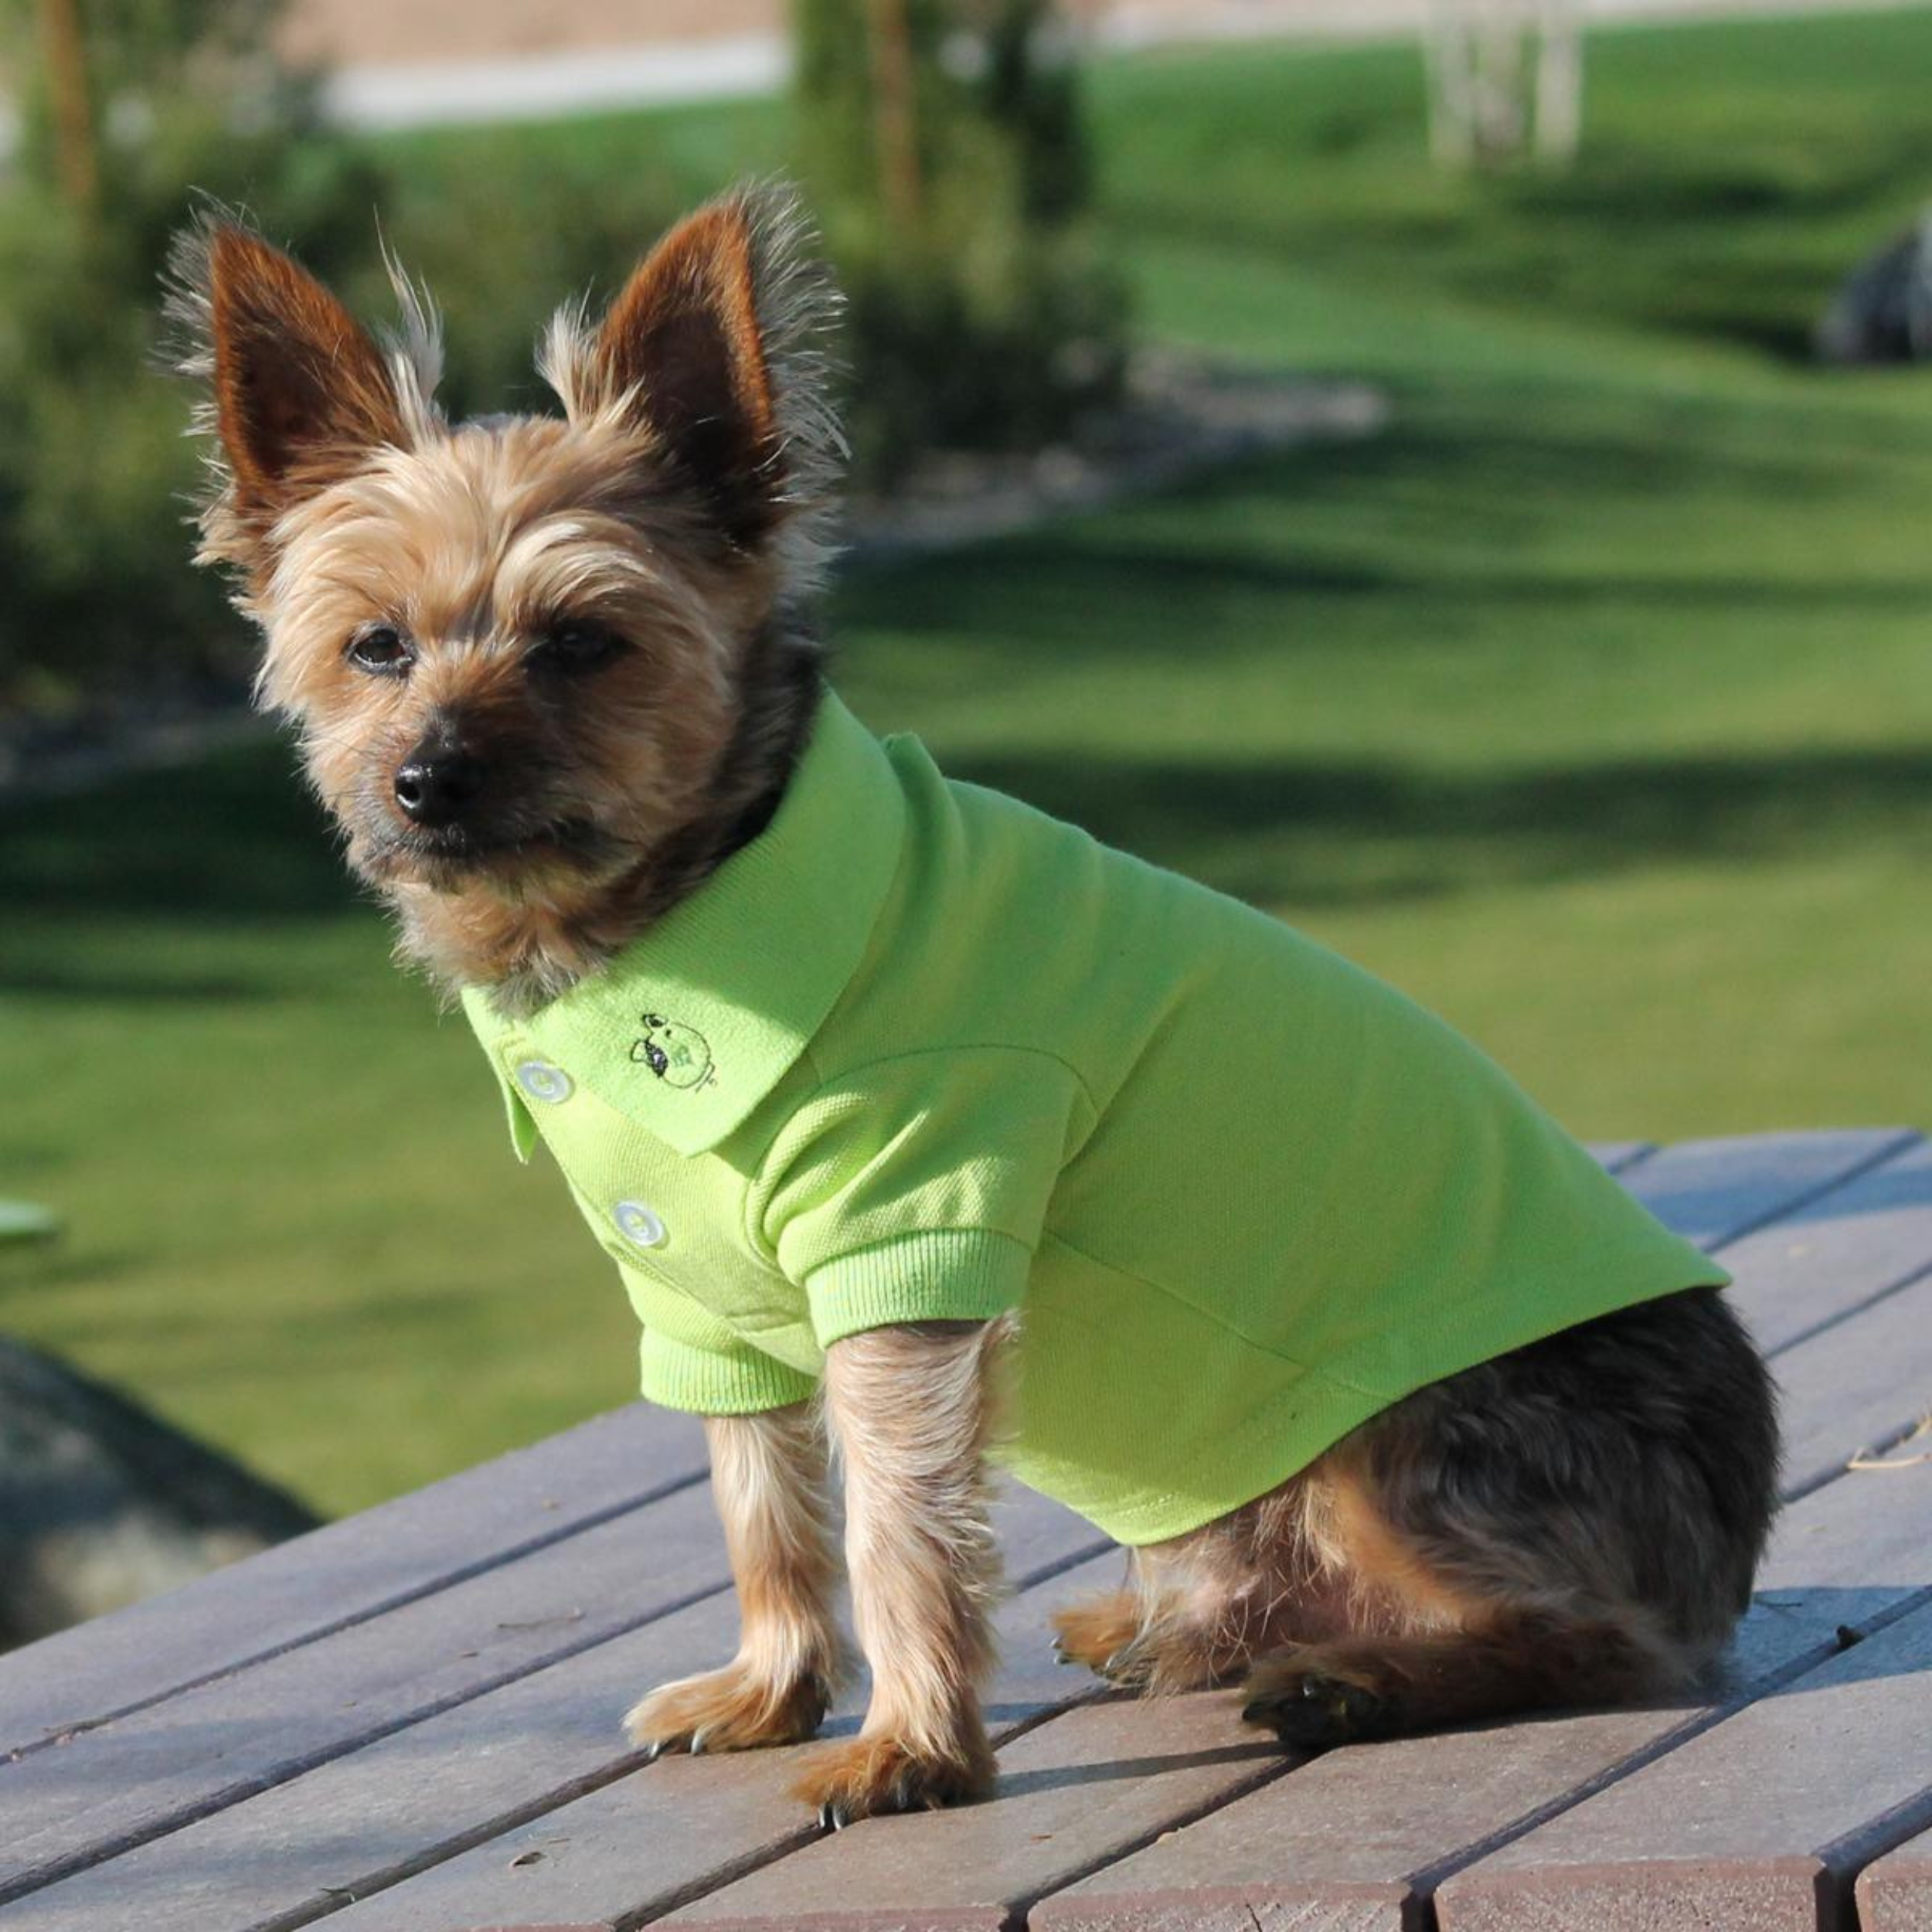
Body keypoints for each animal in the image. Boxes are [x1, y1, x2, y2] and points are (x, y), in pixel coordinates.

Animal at [170, 182, 1777, 1824]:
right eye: (373, 646)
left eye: (580, 643)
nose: (427, 780)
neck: (673, 919)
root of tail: (1735, 1518)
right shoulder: (698, 1302)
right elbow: (762, 1503)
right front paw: (770, 1691)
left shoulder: (906, 1253)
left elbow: (897, 1525)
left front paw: (908, 1747)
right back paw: (1179, 1630)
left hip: (1405, 1444)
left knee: (1605, 1637)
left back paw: (1359, 1679)